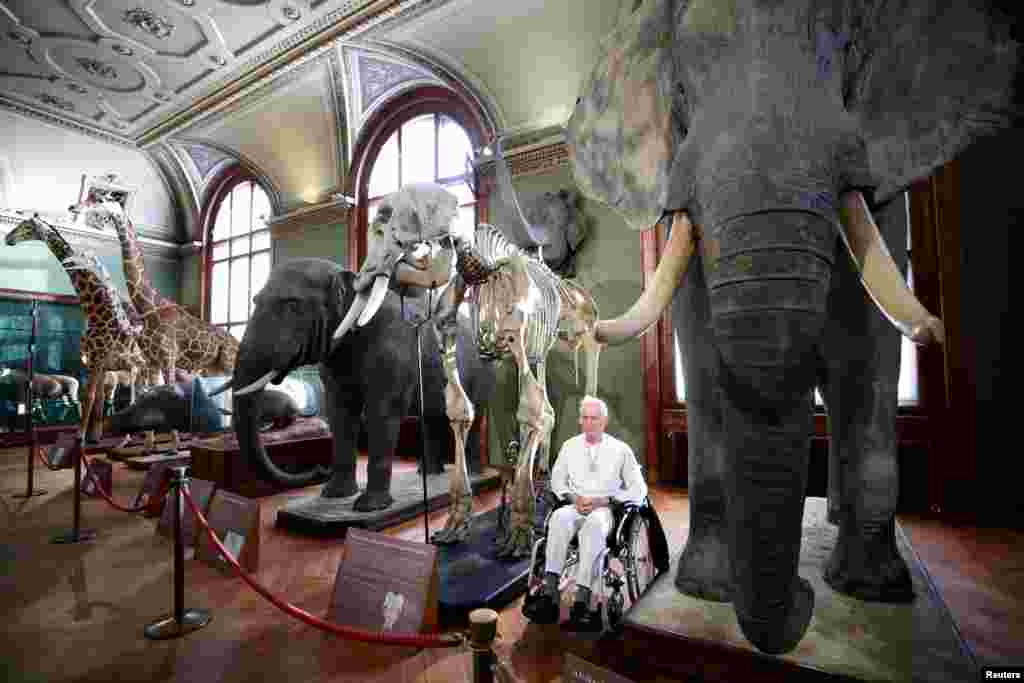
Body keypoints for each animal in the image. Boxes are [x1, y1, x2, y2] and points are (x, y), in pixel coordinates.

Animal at [2, 219, 148, 444]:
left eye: (26, 226)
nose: (7, 238)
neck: (96, 312)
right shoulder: (97, 365)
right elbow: (97, 399)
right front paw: (94, 437)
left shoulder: (97, 362)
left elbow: (89, 396)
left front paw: (80, 436)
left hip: (142, 368)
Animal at [217, 258, 495, 511]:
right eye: (255, 301)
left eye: (292, 305)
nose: (317, 469)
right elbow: (340, 412)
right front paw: (334, 496)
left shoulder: (392, 350)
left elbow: (381, 412)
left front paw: (369, 507)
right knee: (430, 419)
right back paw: (428, 476)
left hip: (481, 372)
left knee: (473, 415)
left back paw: (475, 476)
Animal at [565, 0, 1019, 655]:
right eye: (681, 94)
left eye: (850, 56)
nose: (802, 598)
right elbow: (703, 360)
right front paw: (706, 589)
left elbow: (868, 358)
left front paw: (873, 591)